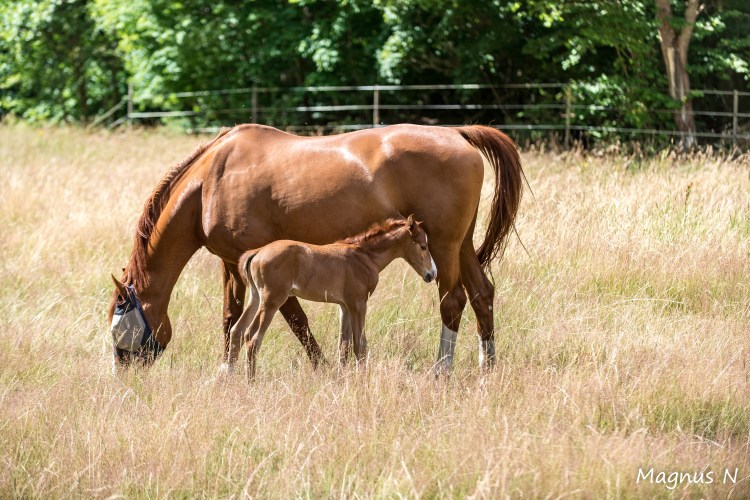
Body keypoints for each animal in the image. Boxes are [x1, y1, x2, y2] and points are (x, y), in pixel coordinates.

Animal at [231, 215, 436, 377]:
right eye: (423, 246)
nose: (431, 274)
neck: (365, 256)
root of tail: (258, 252)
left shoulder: (344, 306)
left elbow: (343, 346)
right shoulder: (358, 303)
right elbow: (360, 345)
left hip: (256, 297)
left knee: (237, 331)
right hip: (272, 300)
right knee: (252, 337)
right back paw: (251, 381)